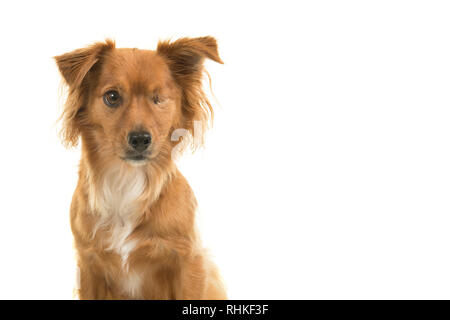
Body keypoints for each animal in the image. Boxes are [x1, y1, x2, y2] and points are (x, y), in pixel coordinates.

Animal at [55, 37, 227, 300]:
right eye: (112, 96)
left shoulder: (190, 261)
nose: (140, 139)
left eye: (158, 98)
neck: (126, 179)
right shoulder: (88, 265)